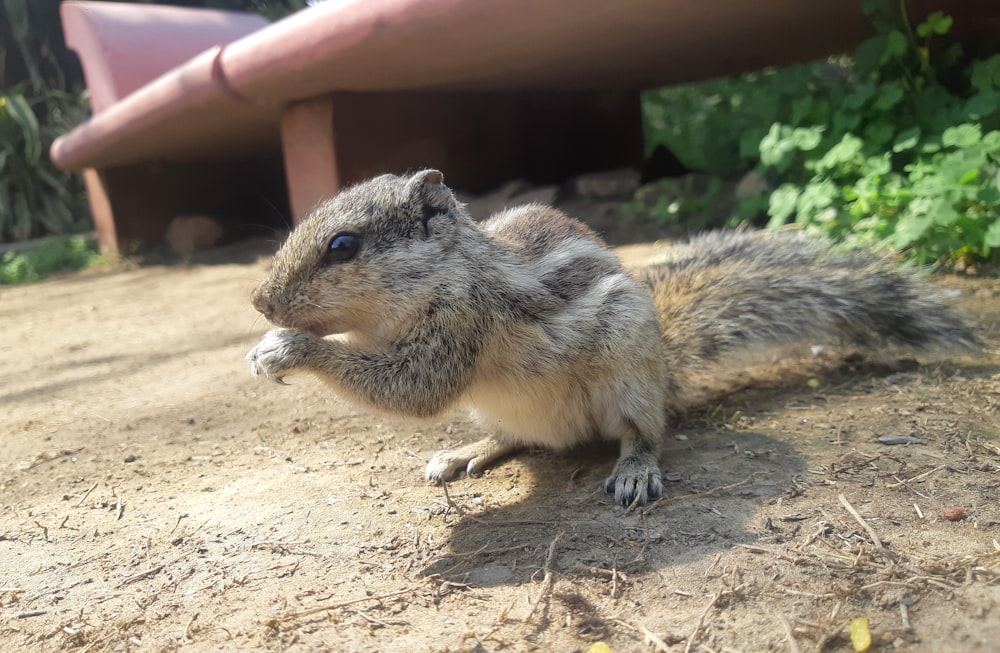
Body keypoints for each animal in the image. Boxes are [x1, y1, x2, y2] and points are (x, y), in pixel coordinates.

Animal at [246, 168, 980, 504]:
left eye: (344, 245)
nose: (259, 301)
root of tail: (665, 372)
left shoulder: (460, 326)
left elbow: (413, 389)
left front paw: (288, 348)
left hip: (630, 373)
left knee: (646, 432)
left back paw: (634, 468)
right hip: (510, 409)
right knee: (517, 438)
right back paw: (468, 450)